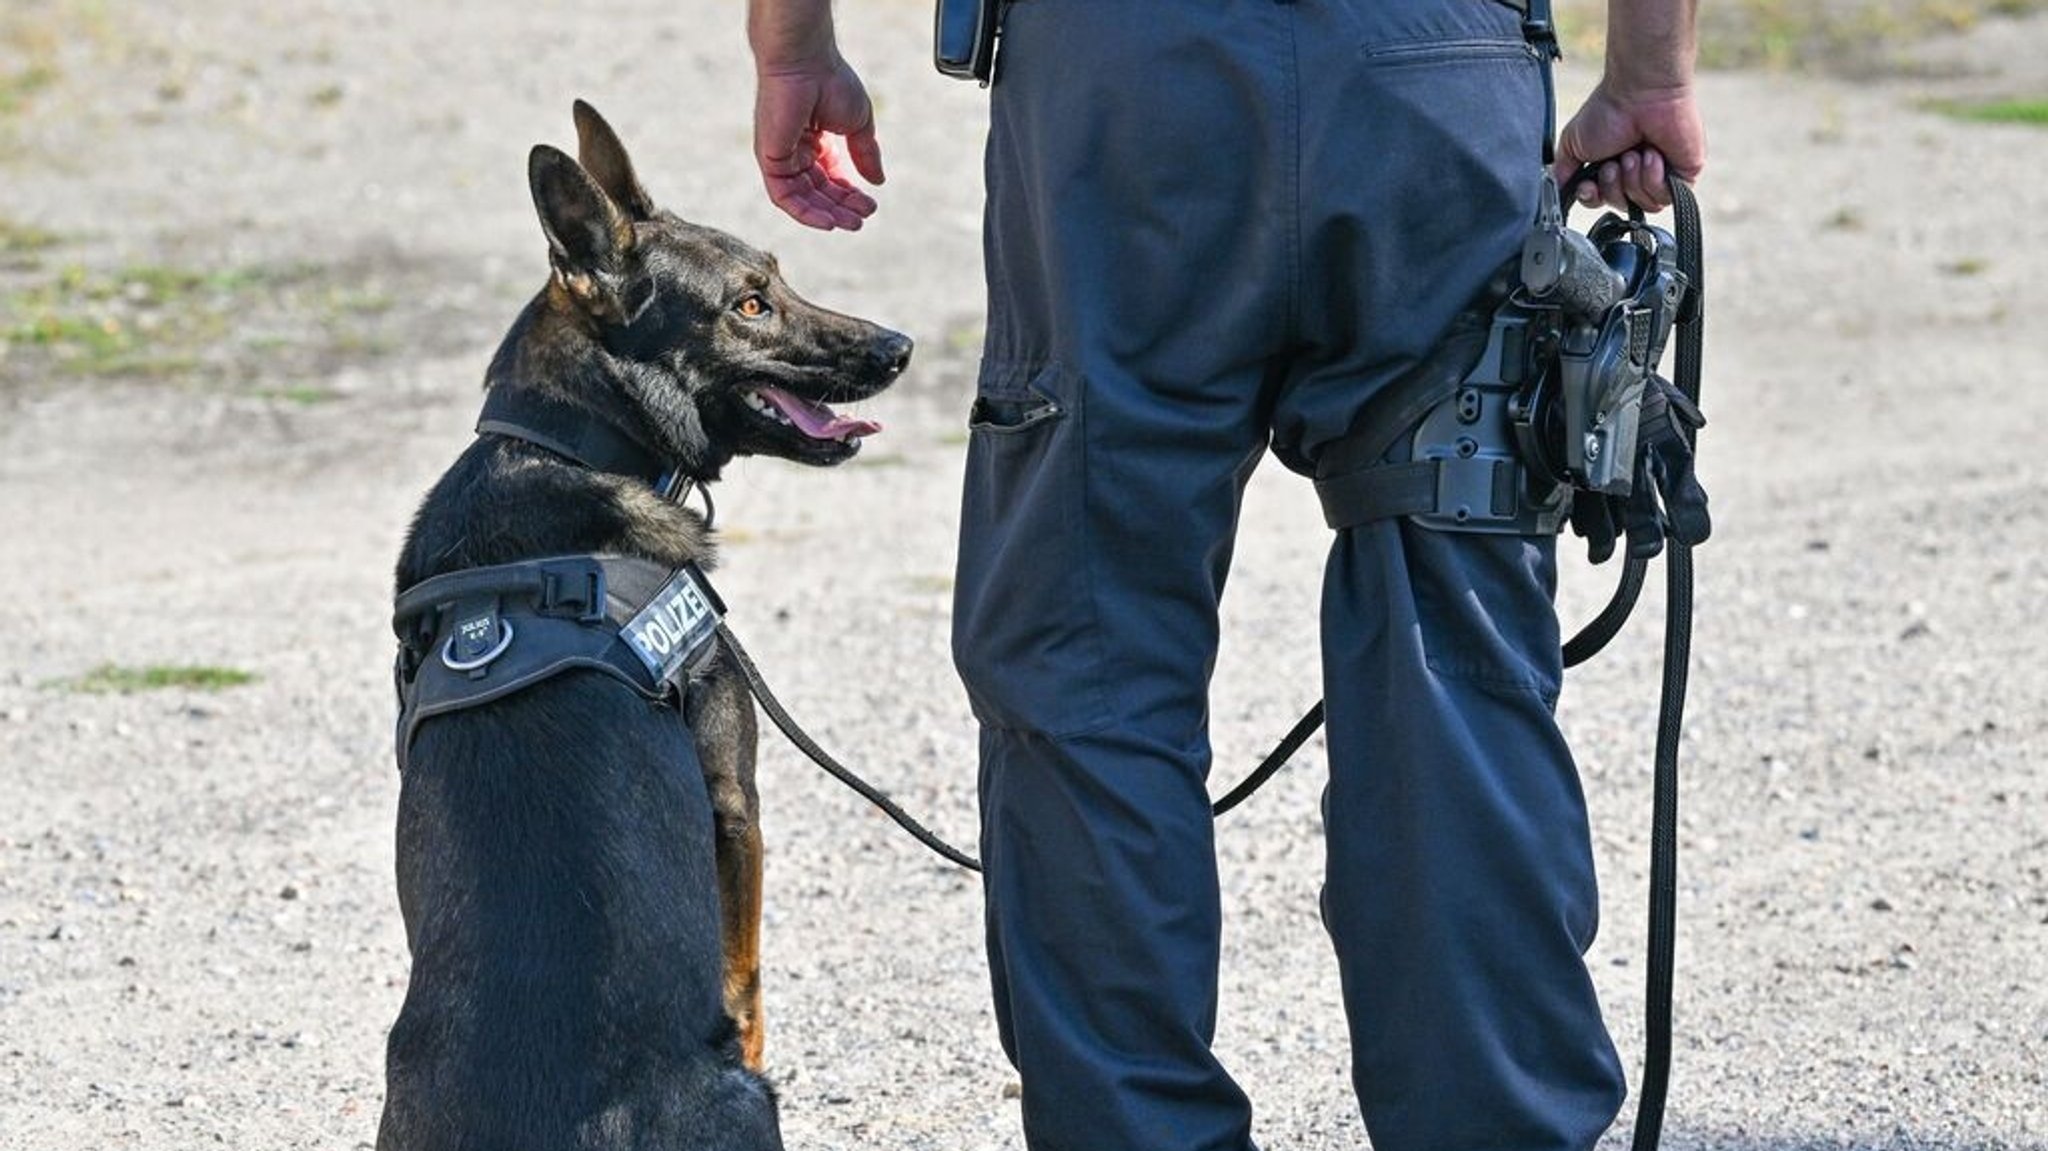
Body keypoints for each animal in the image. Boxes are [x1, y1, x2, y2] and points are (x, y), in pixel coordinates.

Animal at [380, 100, 909, 1146]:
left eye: (777, 279)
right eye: (750, 305)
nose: (897, 348)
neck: (570, 445)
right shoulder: (734, 800)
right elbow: (746, 981)